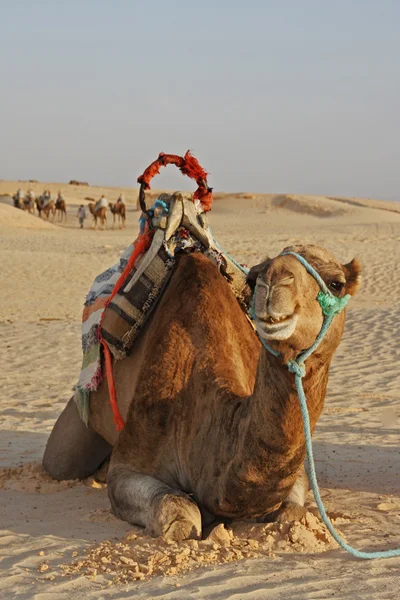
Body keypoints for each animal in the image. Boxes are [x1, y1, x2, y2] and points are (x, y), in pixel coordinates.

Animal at [42, 241, 360, 540]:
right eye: (254, 278)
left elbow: (292, 512)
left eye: (336, 283)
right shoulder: (130, 459)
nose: (274, 280)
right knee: (60, 461)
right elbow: (179, 512)